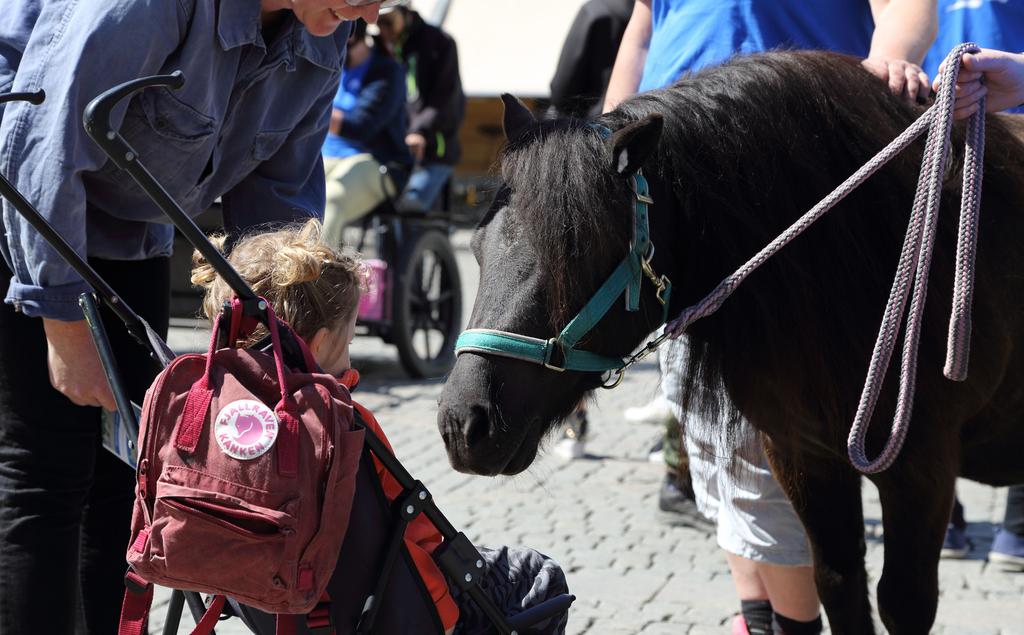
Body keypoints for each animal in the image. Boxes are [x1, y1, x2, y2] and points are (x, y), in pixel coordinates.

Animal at [442, 51, 1024, 630]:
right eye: (478, 244)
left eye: (576, 252)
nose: (463, 423)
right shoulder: (806, 457)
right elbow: (839, 584)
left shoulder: (921, 470)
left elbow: (903, 602)